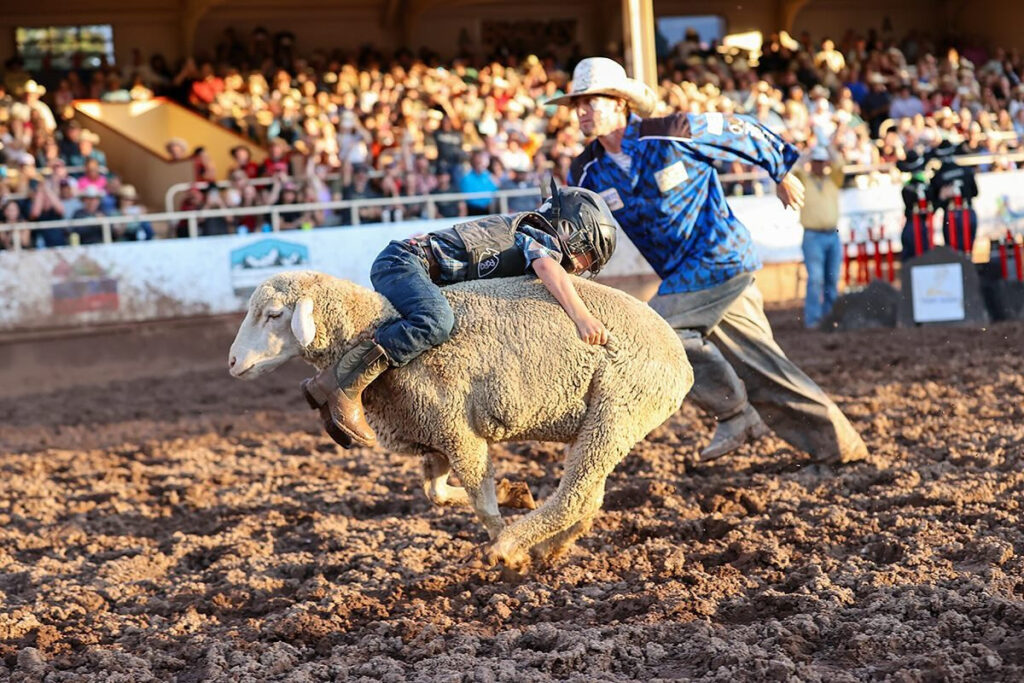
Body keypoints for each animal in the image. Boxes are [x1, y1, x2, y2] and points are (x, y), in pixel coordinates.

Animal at [230, 272, 696, 573]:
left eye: (274, 314)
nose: (232, 363)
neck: (381, 328)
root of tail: (679, 356)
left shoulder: (459, 433)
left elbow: (483, 506)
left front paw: (506, 546)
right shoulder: (431, 437)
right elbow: (435, 494)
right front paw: (514, 492)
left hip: (617, 413)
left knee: (574, 495)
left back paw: (512, 546)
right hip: (601, 426)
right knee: (588, 499)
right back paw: (549, 548)